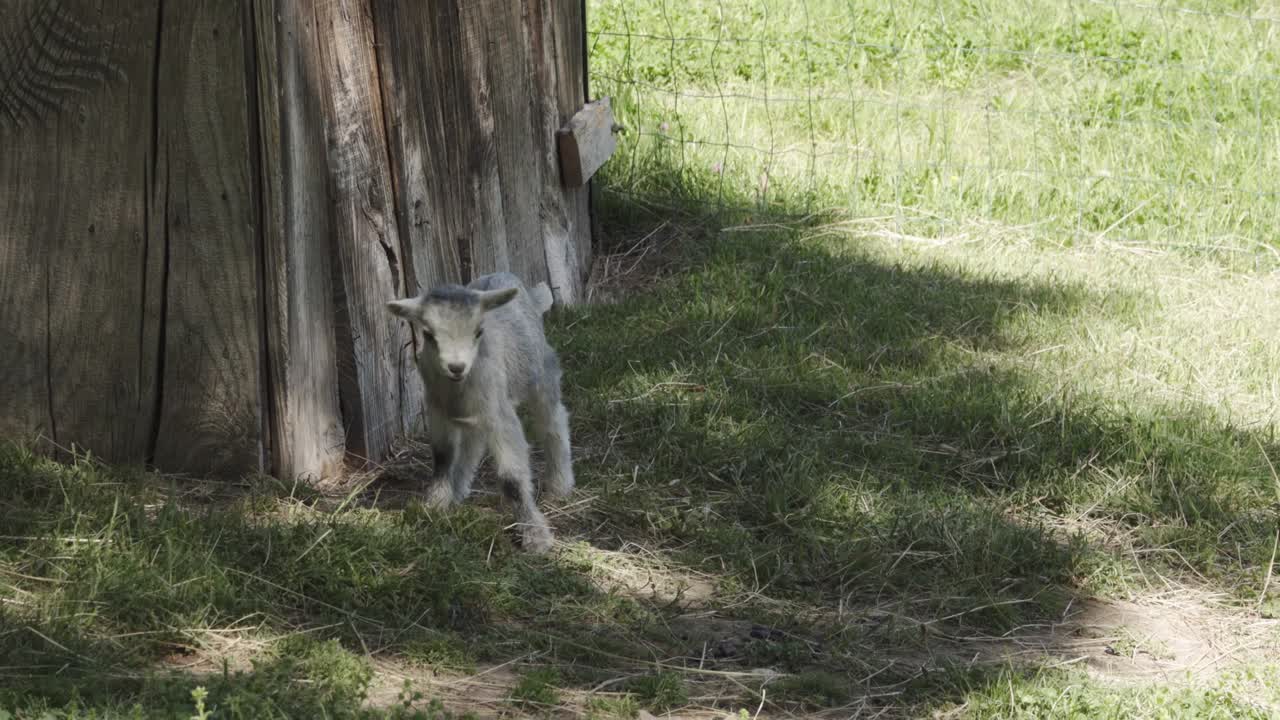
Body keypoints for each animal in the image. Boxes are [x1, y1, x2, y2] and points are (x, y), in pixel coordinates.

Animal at [386, 272, 573, 553]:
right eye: (428, 334)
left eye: (478, 332)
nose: (456, 367)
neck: (457, 389)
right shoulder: (437, 412)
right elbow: (443, 457)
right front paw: (435, 504)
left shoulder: (500, 414)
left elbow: (511, 479)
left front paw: (535, 536)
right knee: (473, 443)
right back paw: (458, 488)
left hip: (541, 372)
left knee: (553, 420)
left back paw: (560, 484)